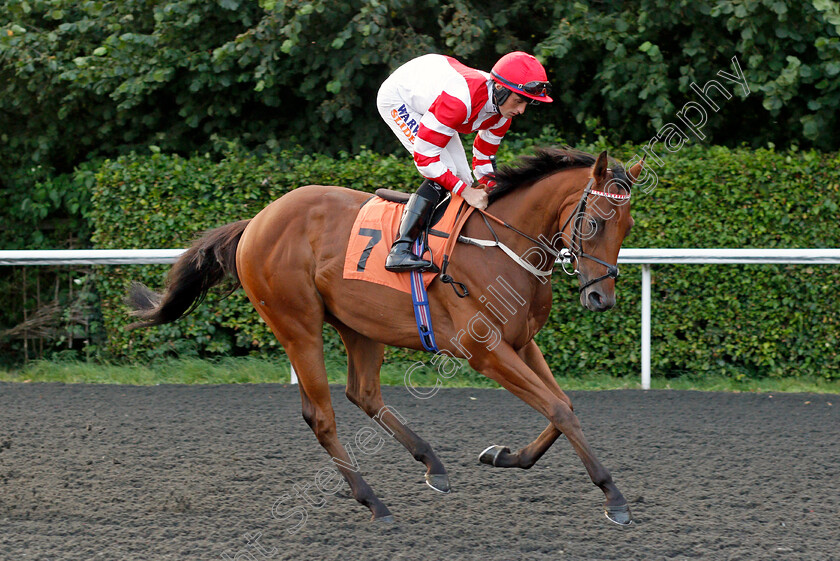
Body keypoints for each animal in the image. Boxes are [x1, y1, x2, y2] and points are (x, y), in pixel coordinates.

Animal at [126, 147, 644, 524]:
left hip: (359, 325)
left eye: (628, 226)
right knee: (321, 416)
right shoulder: (485, 350)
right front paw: (614, 497)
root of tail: (255, 221)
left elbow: (564, 406)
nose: (601, 297)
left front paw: (505, 456)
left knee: (364, 393)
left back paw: (432, 464)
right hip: (297, 324)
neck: (501, 246)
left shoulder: (520, 342)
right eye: (594, 222)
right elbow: (558, 407)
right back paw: (373, 502)